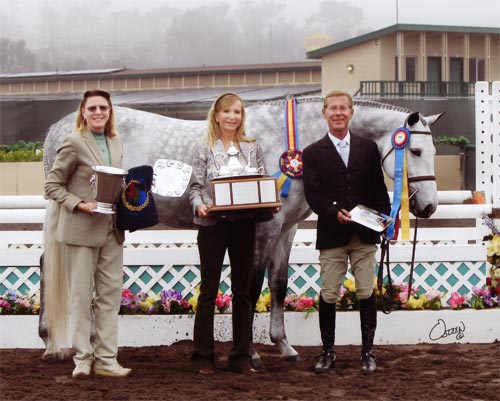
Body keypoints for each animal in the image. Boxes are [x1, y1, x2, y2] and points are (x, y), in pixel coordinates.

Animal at [42, 97, 442, 362]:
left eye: (434, 151)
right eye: (416, 151)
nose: (428, 207)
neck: (296, 141)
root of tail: (59, 128)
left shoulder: (287, 229)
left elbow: (278, 285)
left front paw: (284, 346)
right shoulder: (266, 228)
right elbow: (251, 284)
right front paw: (249, 352)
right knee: (56, 266)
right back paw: (55, 344)